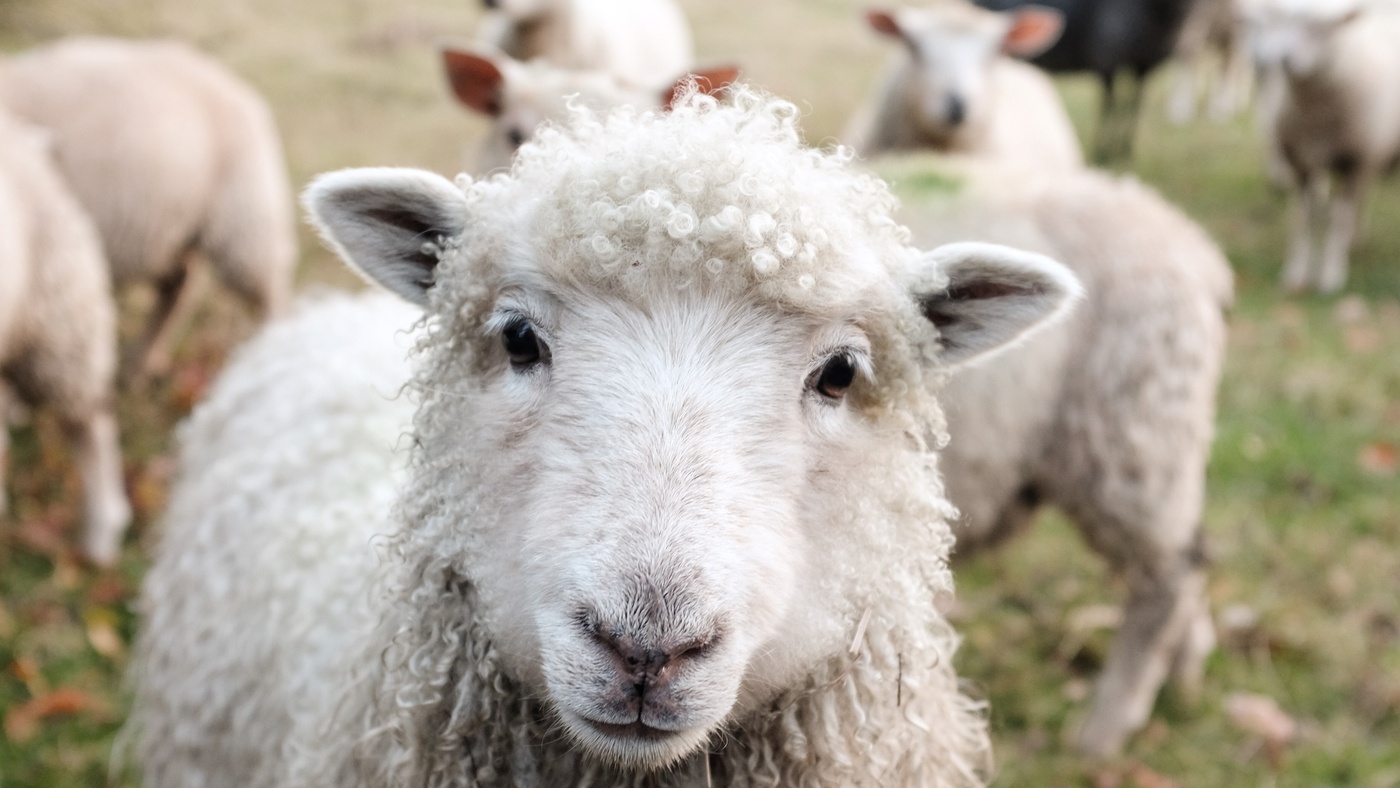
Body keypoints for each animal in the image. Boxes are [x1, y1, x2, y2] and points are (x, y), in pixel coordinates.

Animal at [0, 37, 296, 377]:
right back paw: (142, 361)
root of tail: (232, 83)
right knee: (177, 287)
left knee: (270, 291)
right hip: (170, 229)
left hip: (245, 218)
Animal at [974, 0, 1201, 162]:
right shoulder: (1107, 60)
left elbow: (1133, 106)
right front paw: (1104, 150)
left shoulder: (1144, 66)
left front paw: (1125, 150)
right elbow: (1110, 107)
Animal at [1243, 0, 1400, 293]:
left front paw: (1331, 275)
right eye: (1283, 21)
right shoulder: (1300, 162)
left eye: (1324, 27)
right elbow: (1303, 216)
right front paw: (1297, 273)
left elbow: (1339, 218)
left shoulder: (1355, 162)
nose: (1284, 59)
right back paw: (1355, 240)